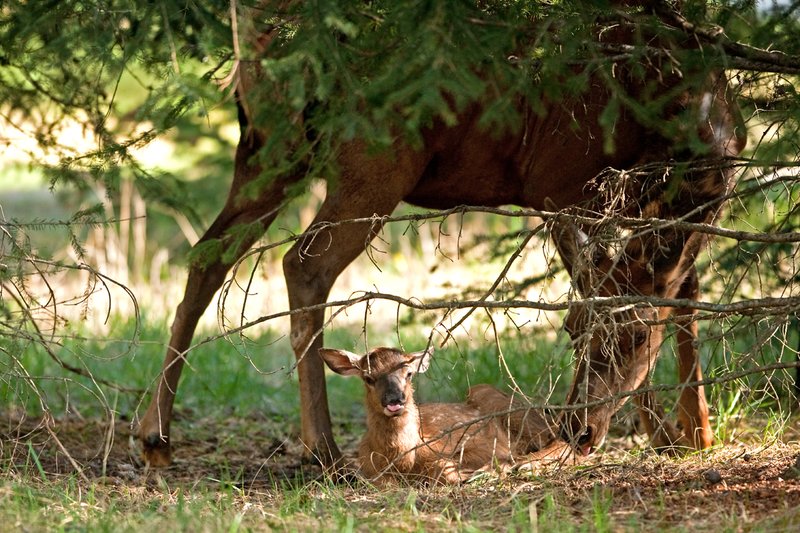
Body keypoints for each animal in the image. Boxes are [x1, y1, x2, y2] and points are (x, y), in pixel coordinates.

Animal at [136, 4, 747, 468]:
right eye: (577, 335)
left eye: (636, 340)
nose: (577, 430)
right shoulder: (558, 180)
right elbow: (617, 284)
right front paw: (670, 432)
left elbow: (683, 290)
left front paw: (692, 430)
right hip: (376, 153)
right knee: (303, 263)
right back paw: (322, 449)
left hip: (269, 144)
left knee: (208, 253)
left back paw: (156, 436)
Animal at [319, 346, 549, 484]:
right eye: (368, 378)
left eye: (409, 373)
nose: (394, 400)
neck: (403, 462)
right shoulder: (370, 471)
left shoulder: (477, 445)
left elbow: (443, 468)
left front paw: (486, 470)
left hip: (498, 401)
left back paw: (525, 465)